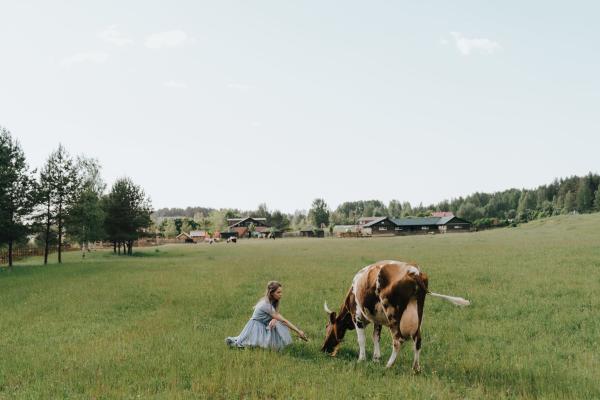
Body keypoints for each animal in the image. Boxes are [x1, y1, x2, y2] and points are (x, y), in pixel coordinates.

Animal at [322, 260, 472, 370]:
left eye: (326, 327)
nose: (323, 349)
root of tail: (413, 272)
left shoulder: (357, 316)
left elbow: (362, 339)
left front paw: (361, 359)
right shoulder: (377, 320)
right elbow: (376, 337)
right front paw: (376, 358)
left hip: (392, 314)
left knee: (398, 340)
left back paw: (389, 365)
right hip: (418, 314)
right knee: (418, 340)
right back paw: (415, 368)